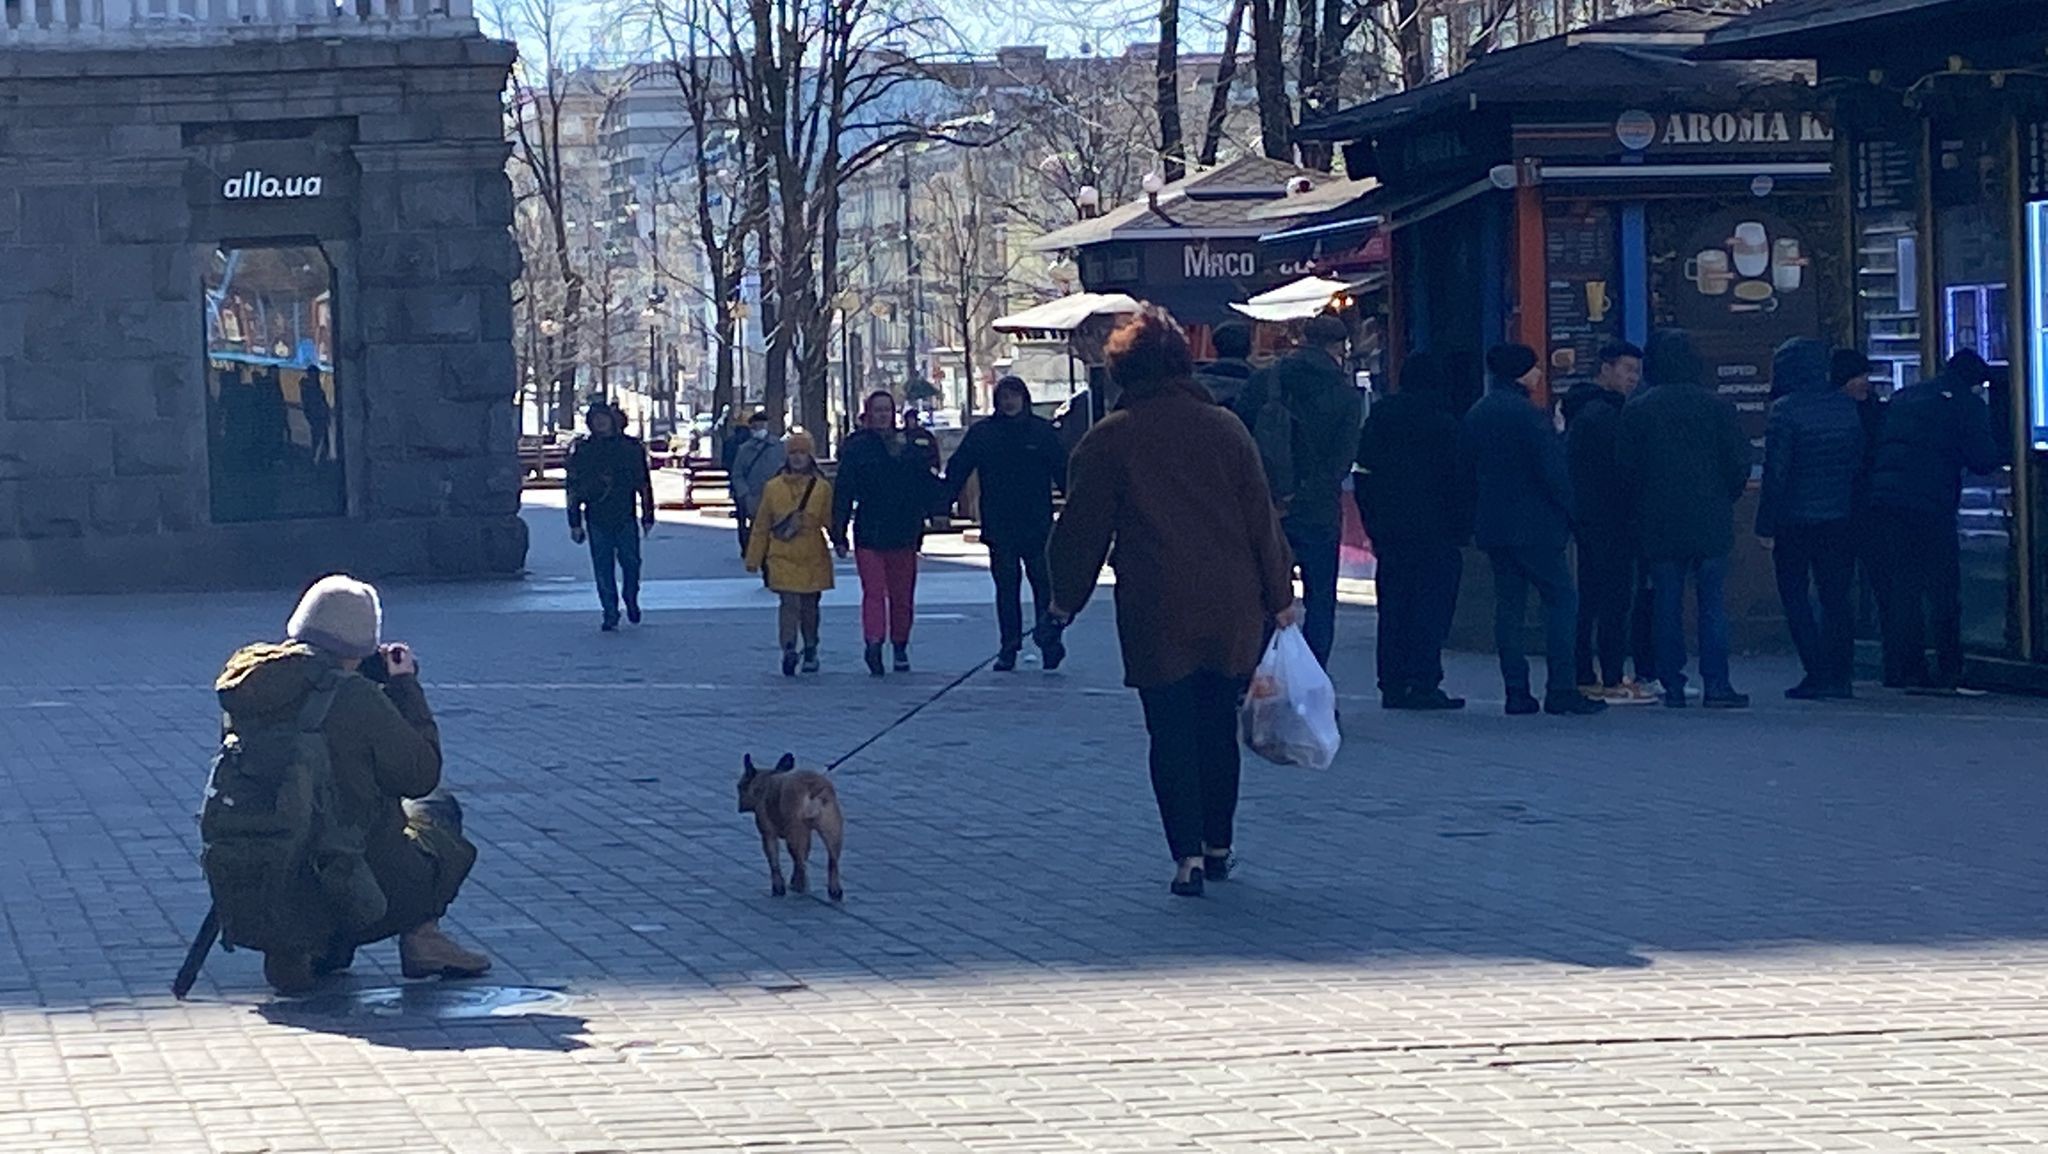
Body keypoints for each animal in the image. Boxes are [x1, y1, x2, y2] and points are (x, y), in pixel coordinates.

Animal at [741, 754, 843, 905]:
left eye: (739, 787)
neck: (765, 781)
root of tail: (812, 789)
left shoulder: (768, 835)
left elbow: (774, 862)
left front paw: (778, 888)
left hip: (795, 833)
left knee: (800, 864)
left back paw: (800, 887)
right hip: (832, 830)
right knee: (832, 862)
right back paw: (834, 891)